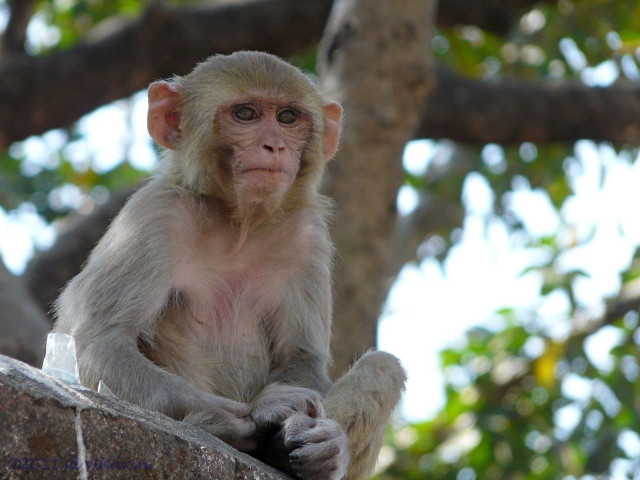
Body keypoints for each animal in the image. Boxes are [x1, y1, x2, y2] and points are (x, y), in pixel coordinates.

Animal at [53, 51, 406, 480]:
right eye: (246, 114)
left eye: (288, 118)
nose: (273, 146)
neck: (240, 223)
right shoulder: (154, 214)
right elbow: (99, 339)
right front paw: (262, 410)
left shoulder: (307, 237)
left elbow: (301, 357)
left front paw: (326, 440)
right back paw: (218, 425)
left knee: (384, 366)